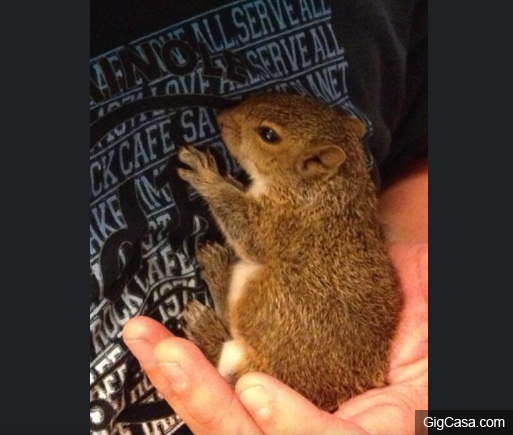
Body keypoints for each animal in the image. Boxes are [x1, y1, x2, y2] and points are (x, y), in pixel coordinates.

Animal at [176, 94, 404, 413]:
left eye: (268, 135)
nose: (221, 118)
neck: (330, 187)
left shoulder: (280, 222)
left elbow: (245, 227)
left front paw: (207, 177)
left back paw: (206, 321)